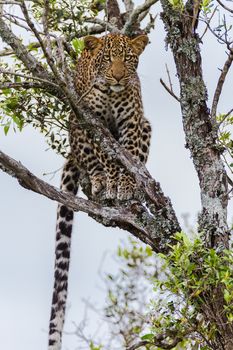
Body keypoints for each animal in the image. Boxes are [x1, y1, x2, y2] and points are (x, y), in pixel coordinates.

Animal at [48, 32, 152, 350]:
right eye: (107, 59)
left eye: (128, 58)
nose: (118, 76)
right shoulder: (89, 121)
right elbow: (107, 156)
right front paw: (110, 181)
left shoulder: (132, 122)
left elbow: (127, 155)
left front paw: (126, 185)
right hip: (76, 134)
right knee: (90, 161)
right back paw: (98, 181)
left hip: (146, 124)